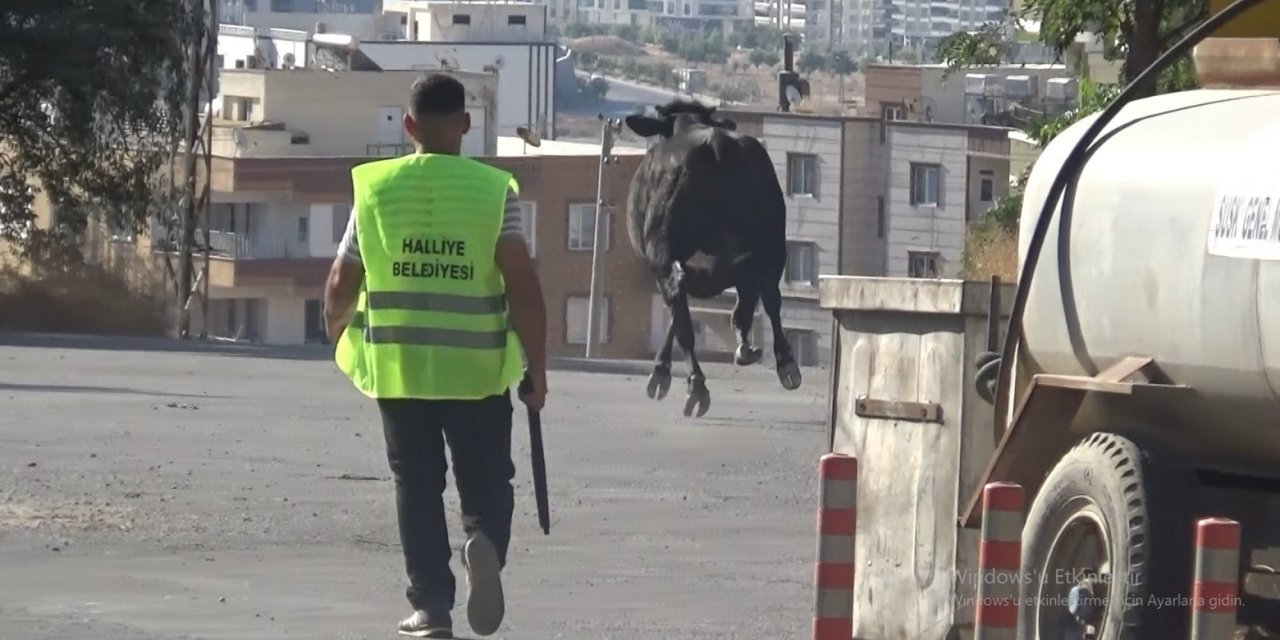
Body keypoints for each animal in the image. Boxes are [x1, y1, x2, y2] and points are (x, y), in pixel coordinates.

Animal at [619, 100, 798, 417]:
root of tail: (717, 143)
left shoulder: (662, 263)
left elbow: (677, 313)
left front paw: (661, 370)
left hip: (663, 249)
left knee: (684, 308)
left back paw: (697, 384)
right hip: (772, 241)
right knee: (769, 296)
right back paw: (779, 360)